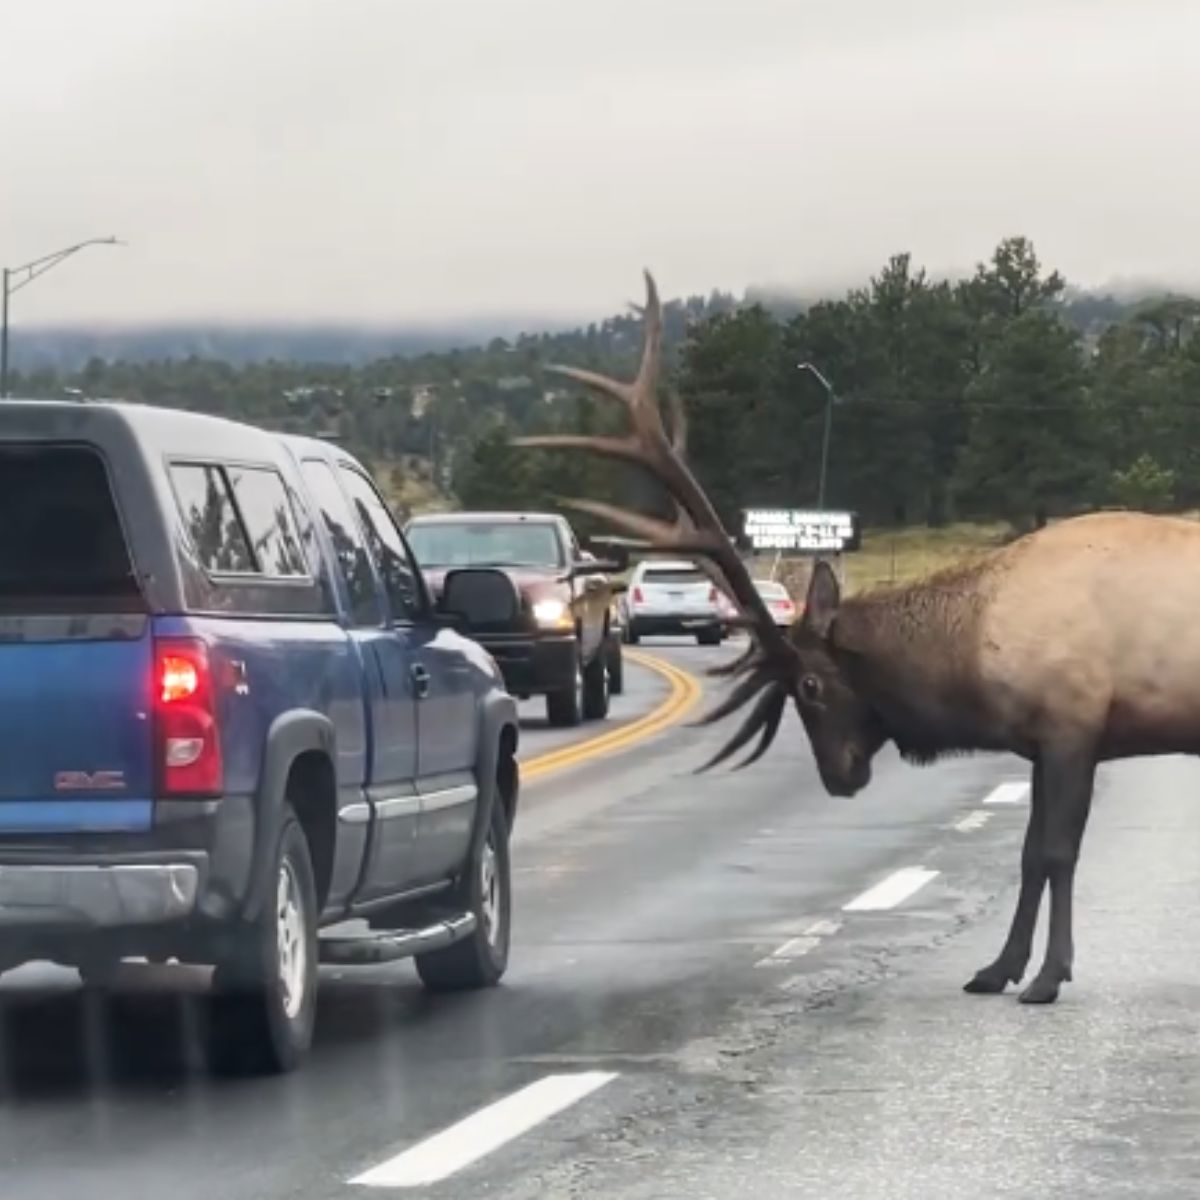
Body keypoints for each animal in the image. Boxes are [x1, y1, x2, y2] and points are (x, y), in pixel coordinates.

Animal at [518, 270, 1200, 1003]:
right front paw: (998, 969)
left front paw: (1047, 975)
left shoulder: (1073, 723)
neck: (973, 657)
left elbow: (1055, 853)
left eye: (811, 684)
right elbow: (1028, 856)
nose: (839, 778)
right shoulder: (1047, 740)